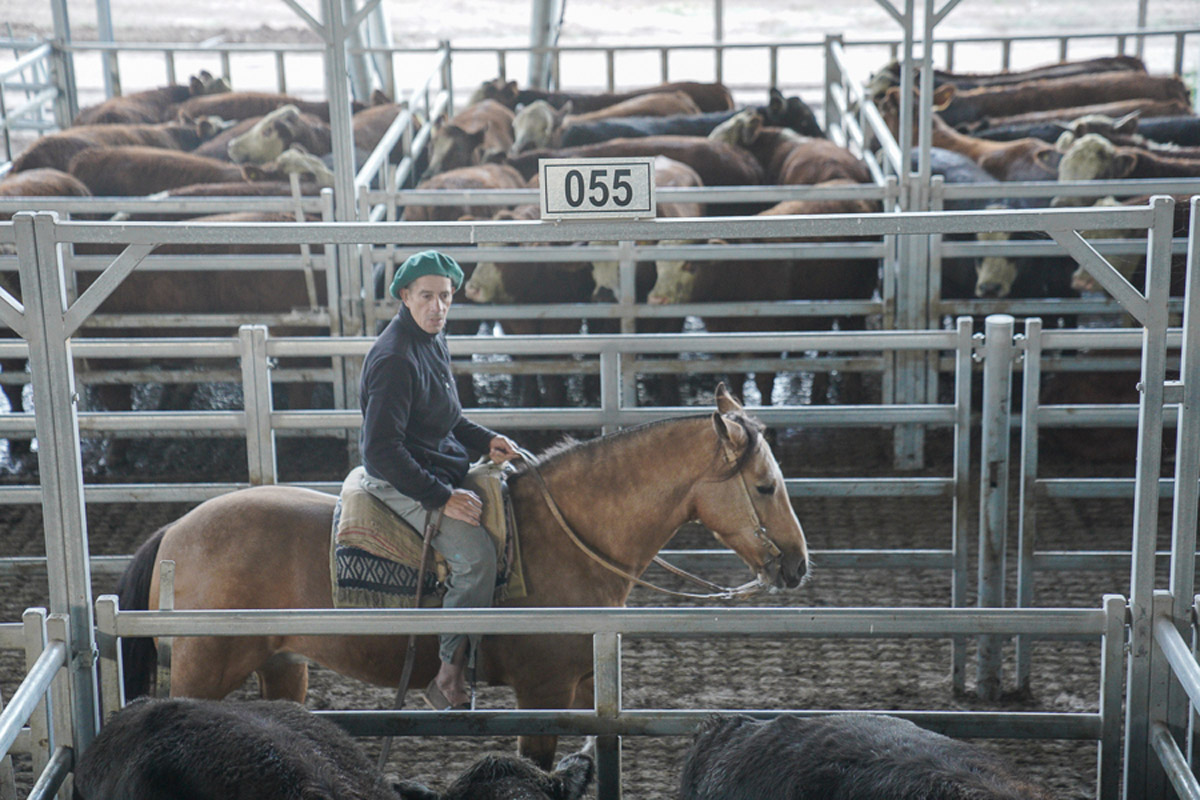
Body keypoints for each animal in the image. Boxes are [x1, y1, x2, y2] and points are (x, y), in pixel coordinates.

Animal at [114, 383, 806, 767]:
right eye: (764, 486)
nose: (799, 564)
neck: (569, 538)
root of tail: (174, 532)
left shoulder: (585, 682)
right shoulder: (542, 692)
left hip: (284, 668)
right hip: (203, 672)